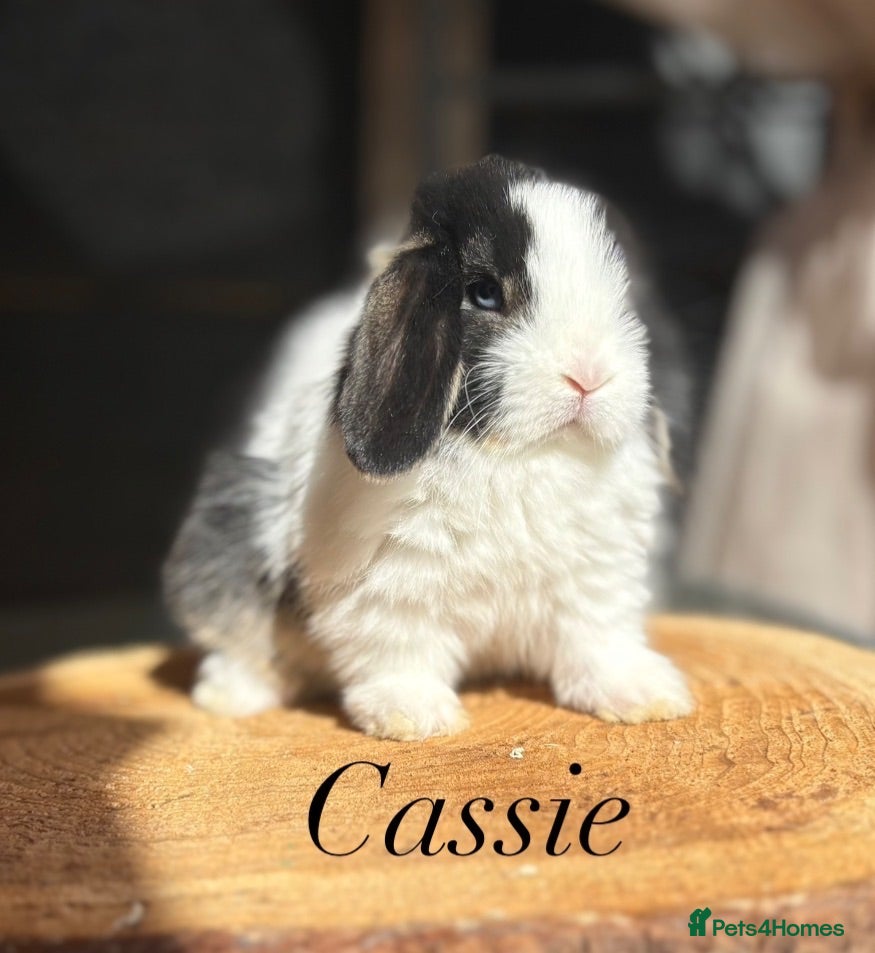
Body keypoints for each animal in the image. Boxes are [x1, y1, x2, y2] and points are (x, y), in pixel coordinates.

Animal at [164, 154, 694, 740]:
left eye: (625, 299)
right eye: (483, 292)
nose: (589, 376)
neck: (519, 455)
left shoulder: (598, 576)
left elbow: (598, 640)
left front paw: (643, 696)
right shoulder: (389, 584)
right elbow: (399, 649)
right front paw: (412, 716)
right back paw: (231, 695)